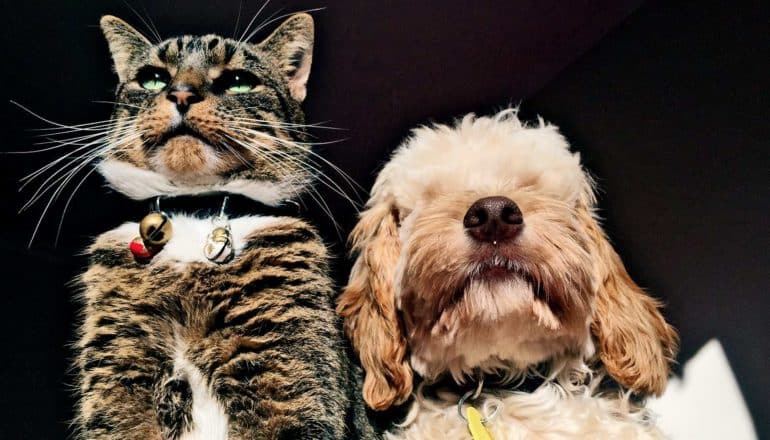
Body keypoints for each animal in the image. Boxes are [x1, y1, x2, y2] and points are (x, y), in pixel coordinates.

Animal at [71, 13, 376, 440]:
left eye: (238, 81)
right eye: (153, 78)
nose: (182, 94)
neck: (195, 214)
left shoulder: (290, 384)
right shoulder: (118, 383)